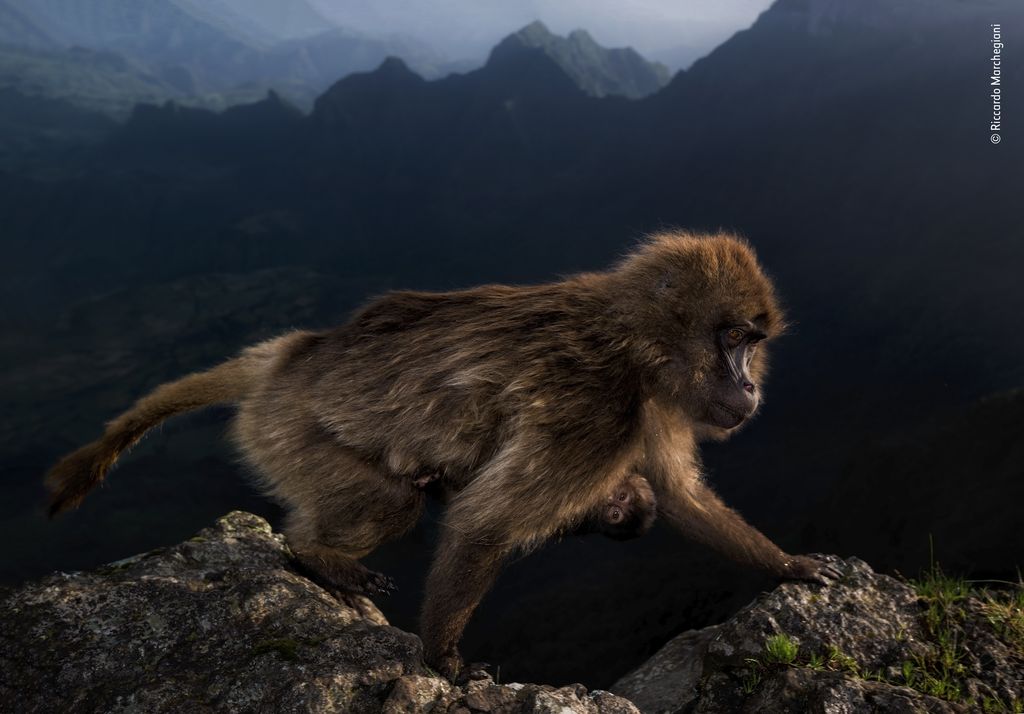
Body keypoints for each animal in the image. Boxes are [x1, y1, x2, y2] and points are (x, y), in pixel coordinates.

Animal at [44, 232, 835, 680]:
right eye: (734, 340)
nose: (749, 387)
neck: (636, 343)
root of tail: (291, 357)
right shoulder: (598, 408)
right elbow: (485, 524)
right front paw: (443, 662)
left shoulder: (653, 407)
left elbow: (678, 500)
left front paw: (788, 565)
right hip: (285, 433)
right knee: (388, 501)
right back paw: (314, 553)